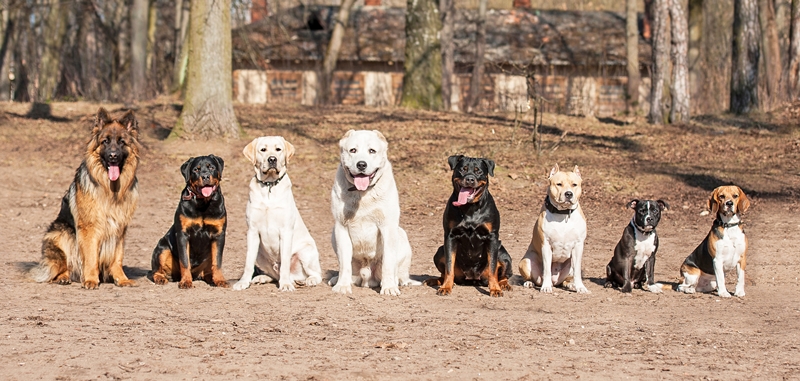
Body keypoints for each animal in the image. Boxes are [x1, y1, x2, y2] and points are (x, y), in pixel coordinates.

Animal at [31, 107, 140, 288]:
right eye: (105, 141)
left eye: (121, 142)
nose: (113, 156)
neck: (110, 188)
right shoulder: (90, 228)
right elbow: (91, 257)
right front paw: (90, 279)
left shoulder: (119, 228)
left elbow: (117, 257)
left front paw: (121, 279)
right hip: (61, 233)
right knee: (62, 266)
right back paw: (64, 277)